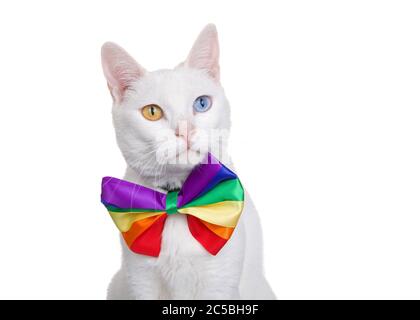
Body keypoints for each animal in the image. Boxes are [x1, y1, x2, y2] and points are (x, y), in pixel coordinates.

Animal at [101, 23, 276, 298]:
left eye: (202, 103)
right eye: (152, 112)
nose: (185, 130)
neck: (179, 197)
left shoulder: (219, 282)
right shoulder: (140, 280)